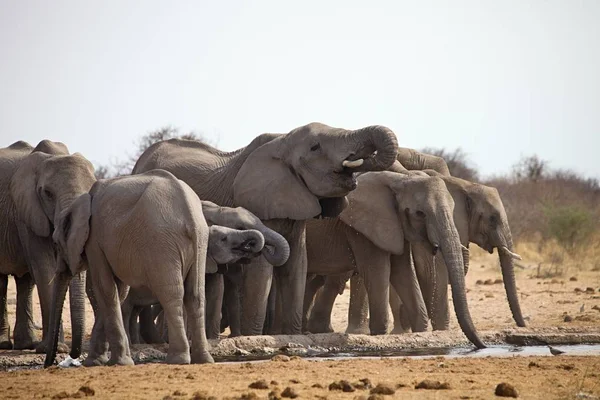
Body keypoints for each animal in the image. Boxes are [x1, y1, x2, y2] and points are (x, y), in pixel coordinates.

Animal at [0, 139, 95, 358]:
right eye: (48, 194)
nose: (73, 354)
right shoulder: (27, 211)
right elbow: (45, 269)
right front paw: (55, 348)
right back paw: (5, 344)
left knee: (25, 280)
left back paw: (26, 344)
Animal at [46, 170, 216, 368]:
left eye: (56, 244)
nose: (50, 364)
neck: (81, 200)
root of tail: (190, 214)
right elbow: (118, 293)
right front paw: (95, 362)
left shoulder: (95, 240)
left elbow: (105, 289)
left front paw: (116, 363)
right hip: (201, 242)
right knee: (194, 294)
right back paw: (203, 360)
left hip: (161, 242)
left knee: (171, 294)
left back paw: (177, 360)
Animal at [134, 121, 400, 334]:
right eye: (315, 147)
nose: (361, 160)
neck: (282, 141)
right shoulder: (260, 200)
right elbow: (262, 271)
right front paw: (253, 336)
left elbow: (297, 263)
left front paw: (292, 336)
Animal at [302, 170, 486, 348]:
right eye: (420, 214)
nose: (482, 345)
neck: (400, 180)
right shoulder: (363, 229)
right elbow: (377, 273)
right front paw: (379, 335)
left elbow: (403, 274)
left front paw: (420, 333)